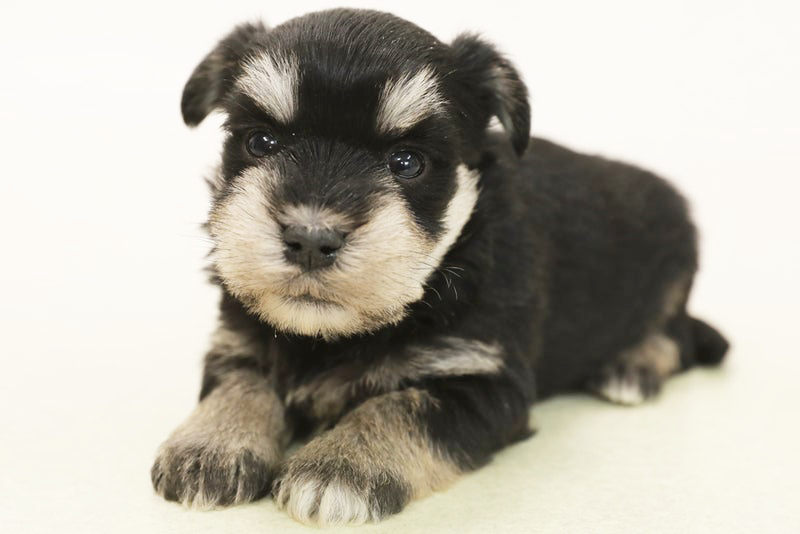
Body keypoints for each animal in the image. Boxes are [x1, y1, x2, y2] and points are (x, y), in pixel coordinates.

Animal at [151, 8, 729, 526]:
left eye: (408, 162)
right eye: (260, 142)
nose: (311, 239)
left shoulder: (484, 382)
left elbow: (400, 406)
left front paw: (339, 467)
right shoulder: (238, 338)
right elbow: (241, 381)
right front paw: (210, 446)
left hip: (676, 267)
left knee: (675, 336)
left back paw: (630, 369)